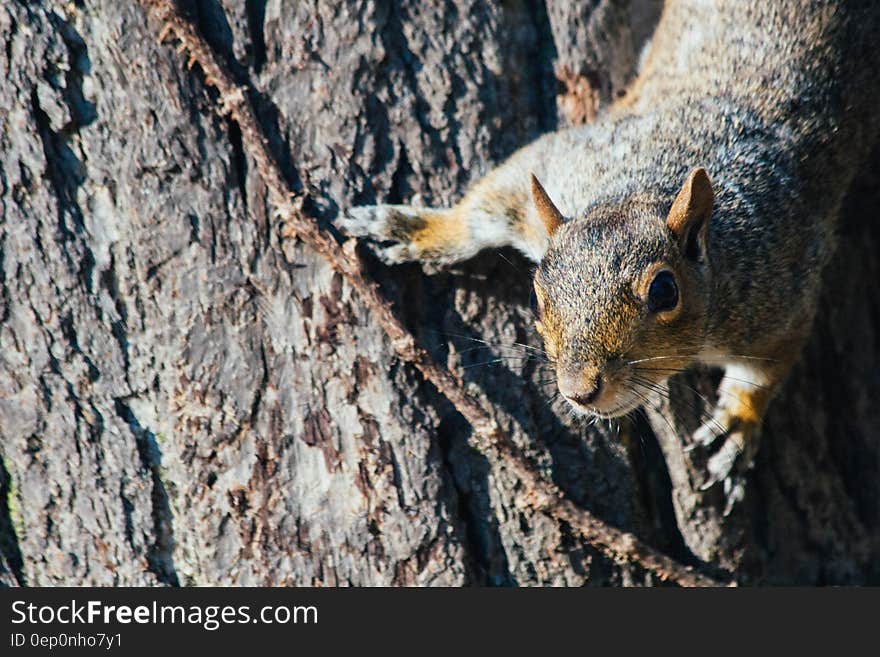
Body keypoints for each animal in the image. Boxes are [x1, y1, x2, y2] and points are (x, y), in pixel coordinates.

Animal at [340, 0, 880, 512]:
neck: (642, 189)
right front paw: (419, 229)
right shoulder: (562, 161)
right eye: (536, 297)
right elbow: (488, 202)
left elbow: (768, 365)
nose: (579, 390)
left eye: (665, 291)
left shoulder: (781, 288)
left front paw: (737, 422)